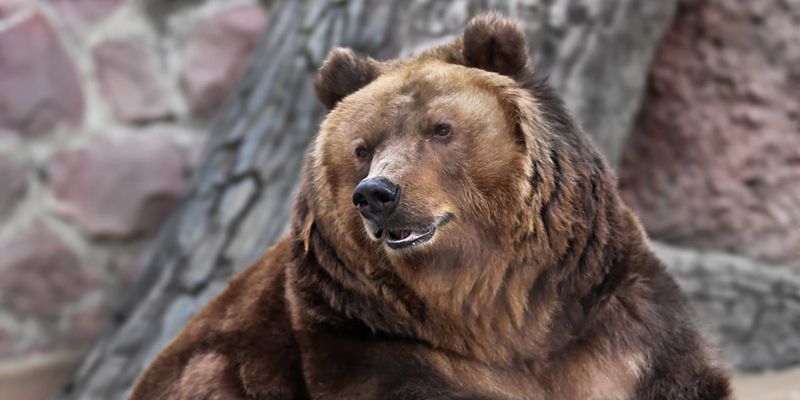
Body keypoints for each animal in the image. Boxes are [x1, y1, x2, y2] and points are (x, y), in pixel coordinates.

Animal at [128, 13, 733, 400]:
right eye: (362, 147)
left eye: (440, 129)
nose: (376, 194)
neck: (493, 307)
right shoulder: (366, 335)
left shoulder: (608, 316)